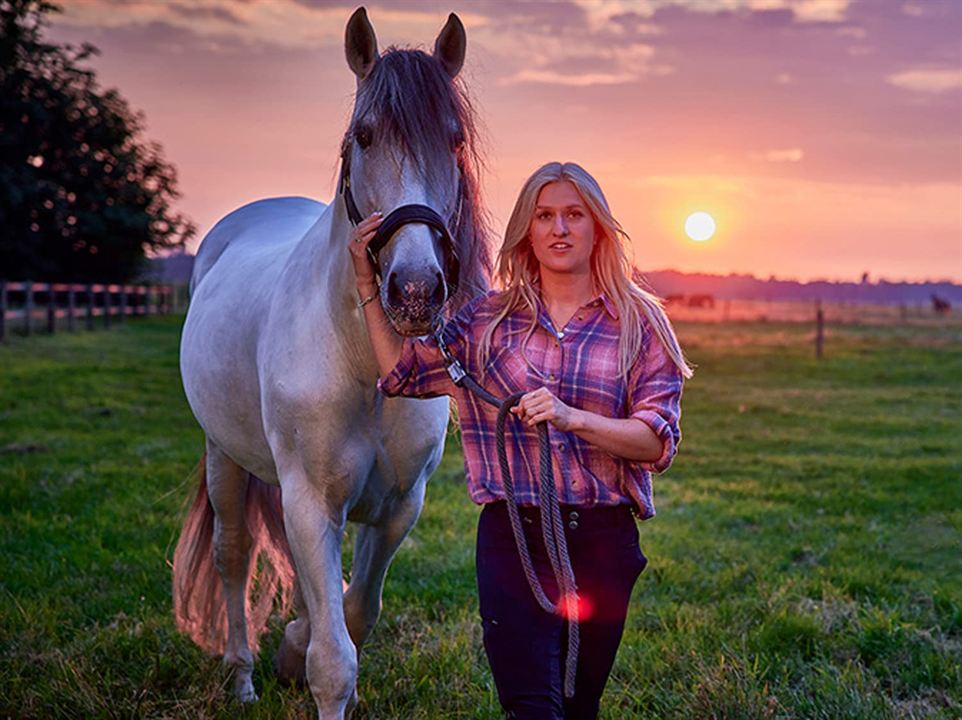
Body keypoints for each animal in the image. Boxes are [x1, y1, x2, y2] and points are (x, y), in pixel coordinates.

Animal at [171, 8, 488, 716]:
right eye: (363, 137)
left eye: (454, 139)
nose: (416, 291)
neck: (364, 367)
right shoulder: (311, 502)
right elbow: (334, 661)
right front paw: (299, 659)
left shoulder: (398, 506)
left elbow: (356, 611)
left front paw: (295, 644)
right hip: (223, 454)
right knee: (233, 555)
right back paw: (242, 678)